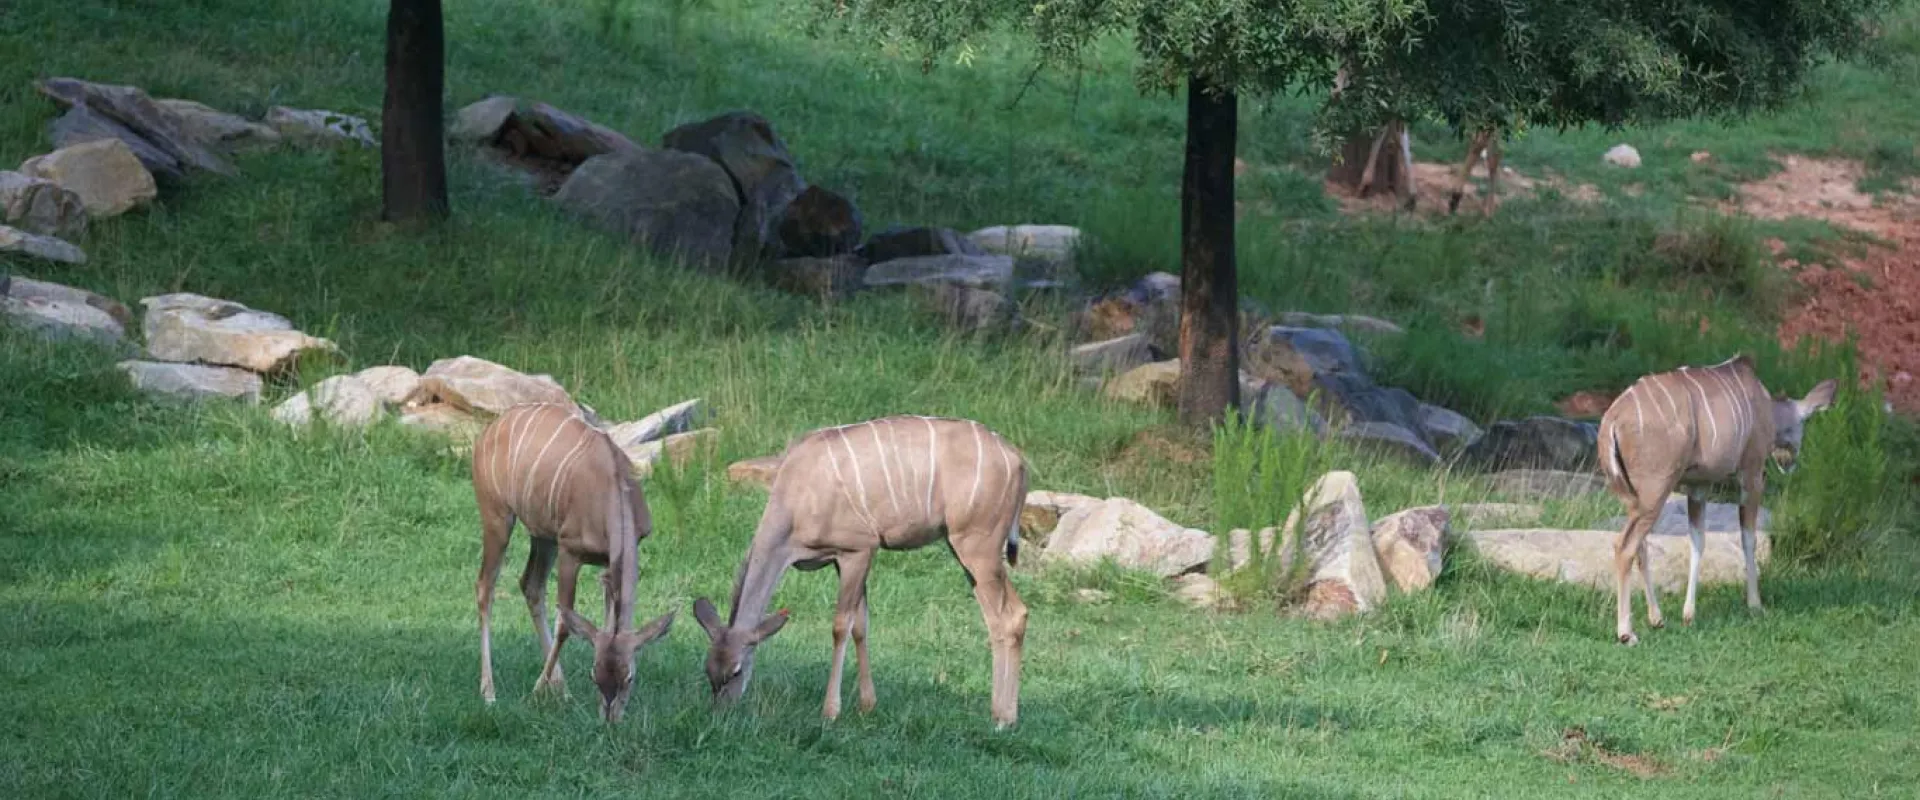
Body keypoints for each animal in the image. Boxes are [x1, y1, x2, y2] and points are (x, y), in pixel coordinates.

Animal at [471, 402, 676, 723]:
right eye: (593, 675)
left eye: (629, 677)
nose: (609, 718)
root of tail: (487, 432)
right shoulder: (571, 551)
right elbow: (566, 623)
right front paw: (535, 692)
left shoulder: (608, 563)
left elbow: (603, 617)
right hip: (497, 517)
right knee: (485, 587)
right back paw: (490, 693)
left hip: (543, 536)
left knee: (530, 585)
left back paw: (562, 689)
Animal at [691, 415, 1030, 728]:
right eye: (708, 669)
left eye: (736, 670)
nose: (720, 714)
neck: (795, 498)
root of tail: (1017, 459)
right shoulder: (842, 561)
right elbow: (861, 625)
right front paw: (867, 705)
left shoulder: (857, 549)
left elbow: (841, 626)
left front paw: (831, 711)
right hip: (964, 548)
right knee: (1002, 616)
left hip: (977, 545)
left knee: (1010, 616)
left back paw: (1004, 719)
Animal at [1598, 355, 1836, 645]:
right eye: (1804, 424)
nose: (1787, 462)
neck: (1765, 406)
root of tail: (1611, 422)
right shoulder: (1752, 473)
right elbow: (1748, 537)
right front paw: (1755, 605)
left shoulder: (1698, 486)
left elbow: (1697, 540)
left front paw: (1688, 615)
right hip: (1656, 490)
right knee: (1624, 546)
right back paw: (1626, 632)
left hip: (1631, 496)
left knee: (1639, 546)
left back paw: (1657, 618)